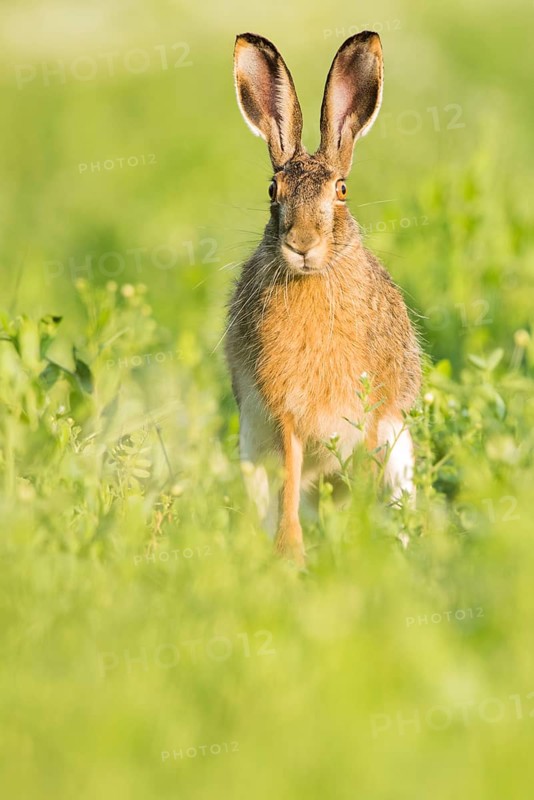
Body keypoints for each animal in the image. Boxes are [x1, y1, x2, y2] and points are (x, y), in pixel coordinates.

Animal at [225, 31, 421, 565]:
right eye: (273, 190)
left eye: (342, 190)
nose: (302, 244)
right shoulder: (285, 417)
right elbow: (291, 481)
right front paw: (290, 553)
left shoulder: (373, 414)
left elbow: (365, 474)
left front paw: (362, 544)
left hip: (401, 455)